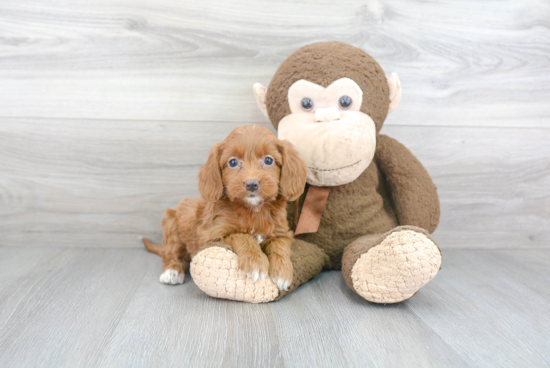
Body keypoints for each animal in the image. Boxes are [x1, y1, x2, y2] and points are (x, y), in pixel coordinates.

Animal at [142, 126, 308, 290]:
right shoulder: (212, 234)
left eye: (268, 160)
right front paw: (255, 261)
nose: (252, 184)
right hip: (172, 225)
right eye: (233, 162)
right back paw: (172, 271)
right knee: (171, 253)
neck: (253, 210)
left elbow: (280, 245)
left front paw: (283, 272)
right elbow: (241, 235)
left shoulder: (282, 231)